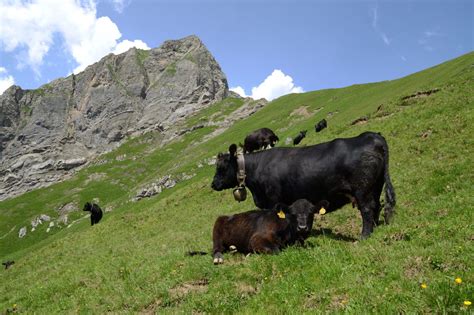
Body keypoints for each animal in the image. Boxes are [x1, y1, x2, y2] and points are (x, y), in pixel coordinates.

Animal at [211, 131, 396, 239]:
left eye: (221, 167)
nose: (213, 184)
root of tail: (372, 136)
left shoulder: (272, 200)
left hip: (362, 189)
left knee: (367, 209)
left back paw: (364, 235)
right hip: (376, 185)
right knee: (377, 205)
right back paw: (375, 228)